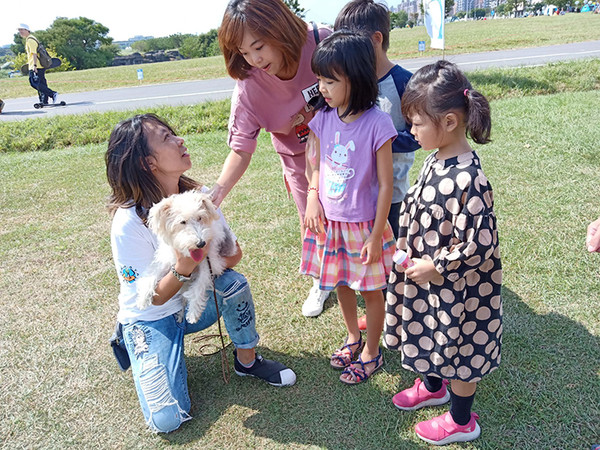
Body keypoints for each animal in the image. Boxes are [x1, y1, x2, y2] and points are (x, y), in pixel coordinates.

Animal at [137, 190, 238, 324]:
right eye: (182, 222)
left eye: (200, 218)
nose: (201, 243)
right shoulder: (168, 260)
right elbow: (153, 274)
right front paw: (143, 298)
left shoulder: (209, 266)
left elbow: (198, 288)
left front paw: (193, 314)